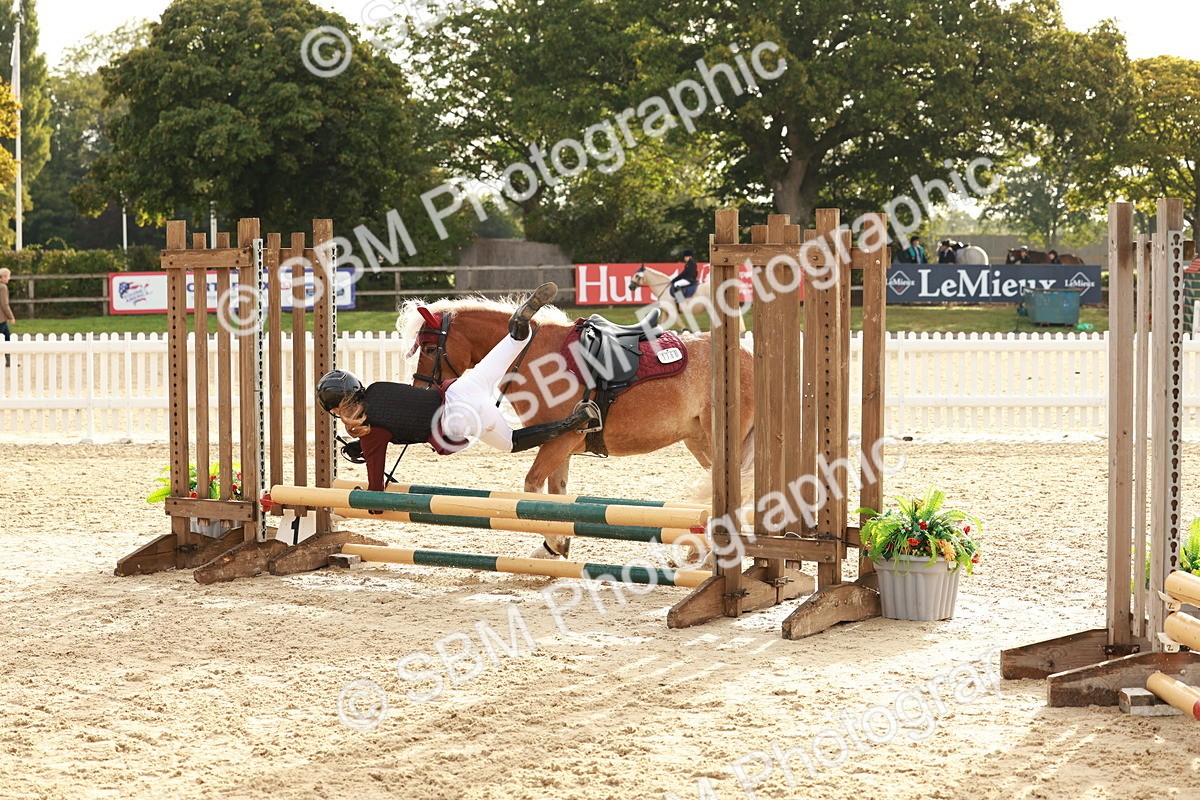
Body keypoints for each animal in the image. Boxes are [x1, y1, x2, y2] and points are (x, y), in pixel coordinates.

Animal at [398, 297, 756, 560]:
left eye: (429, 349)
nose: (421, 395)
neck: (534, 355)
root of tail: (750, 355)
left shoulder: (560, 441)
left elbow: (532, 488)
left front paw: (555, 543)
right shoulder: (559, 445)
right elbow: (555, 496)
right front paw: (553, 547)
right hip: (701, 443)